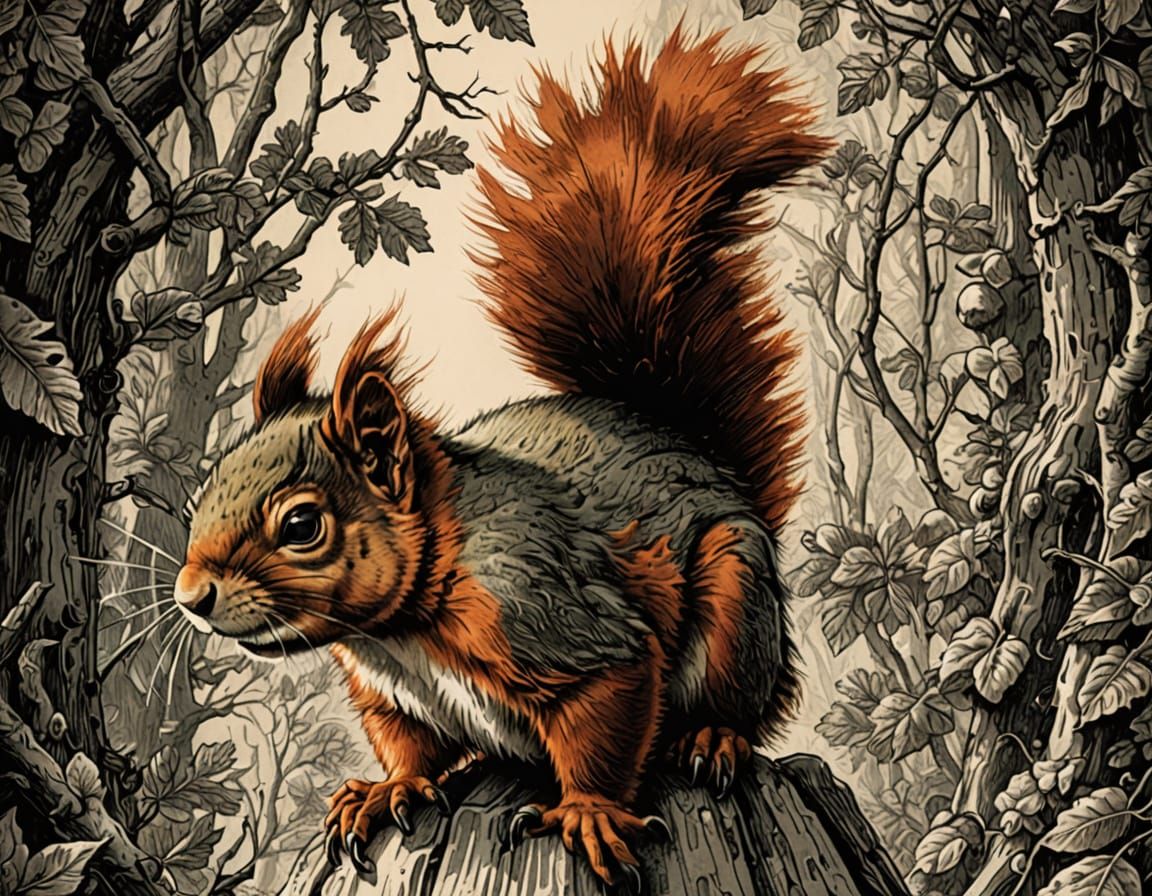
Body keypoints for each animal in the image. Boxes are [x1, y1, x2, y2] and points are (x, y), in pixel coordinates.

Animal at [175, 26, 829, 891]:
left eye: (302, 525)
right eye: (202, 494)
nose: (190, 597)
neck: (405, 627)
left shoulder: (559, 617)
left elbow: (606, 718)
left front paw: (586, 813)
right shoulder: (390, 694)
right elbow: (408, 744)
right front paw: (387, 790)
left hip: (736, 599)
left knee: (739, 698)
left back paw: (714, 737)